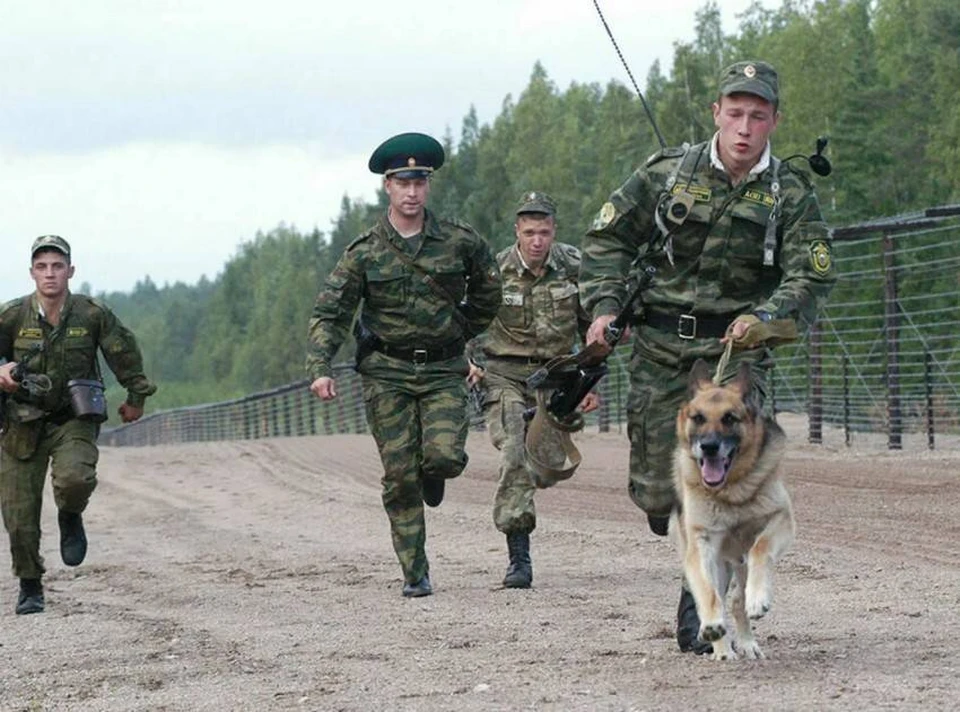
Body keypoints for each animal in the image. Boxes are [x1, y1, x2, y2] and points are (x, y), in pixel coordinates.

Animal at [668, 362, 796, 660]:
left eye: (729, 418)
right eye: (698, 418)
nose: (709, 446)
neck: (731, 491)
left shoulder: (781, 519)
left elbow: (760, 548)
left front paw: (758, 599)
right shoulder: (701, 543)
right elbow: (709, 593)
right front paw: (713, 628)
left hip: (739, 562)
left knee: (738, 599)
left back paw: (747, 641)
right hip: (718, 562)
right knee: (717, 595)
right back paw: (722, 647)